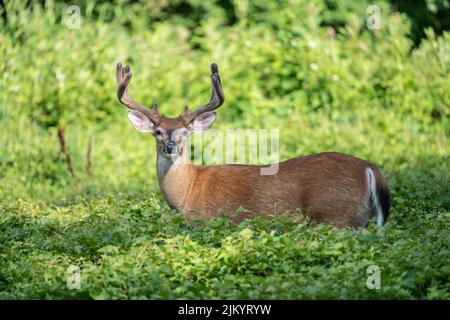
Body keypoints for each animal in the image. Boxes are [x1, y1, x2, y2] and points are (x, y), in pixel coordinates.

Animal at [114, 62, 388, 228]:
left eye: (186, 133)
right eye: (157, 132)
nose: (171, 147)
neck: (187, 192)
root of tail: (370, 168)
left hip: (333, 213)